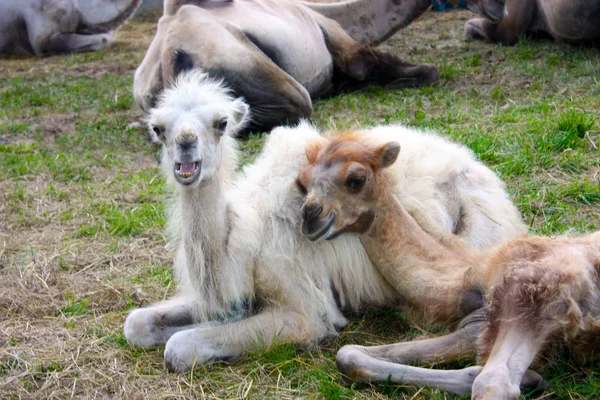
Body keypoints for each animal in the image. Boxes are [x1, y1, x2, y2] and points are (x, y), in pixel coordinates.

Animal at [132, 0, 506, 130]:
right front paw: (417, 72)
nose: (500, 9)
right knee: (296, 103)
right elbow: (366, 62)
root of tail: (168, 56)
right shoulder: (332, 32)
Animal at [300, 133, 600, 398]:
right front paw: (531, 378)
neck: (466, 278)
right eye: (303, 183)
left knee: (493, 384)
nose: (310, 215)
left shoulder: (524, 298)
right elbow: (349, 354)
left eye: (356, 180)